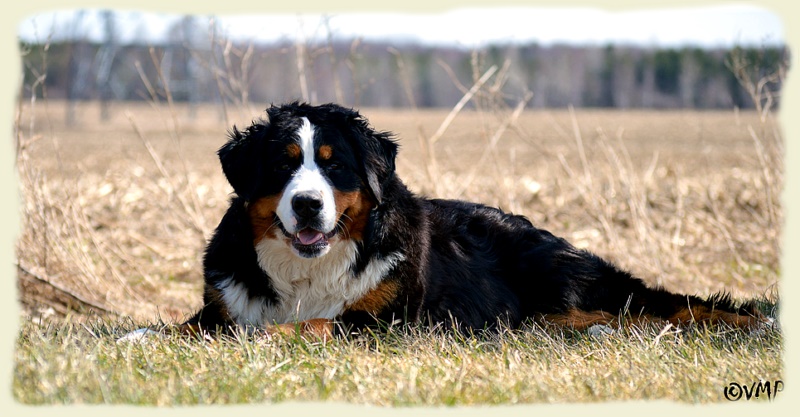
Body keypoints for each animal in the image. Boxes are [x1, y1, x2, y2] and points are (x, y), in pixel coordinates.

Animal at [175, 101, 764, 338]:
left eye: (333, 163)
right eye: (283, 165)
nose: (306, 205)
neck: (306, 274)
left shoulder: (387, 321)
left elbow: (314, 324)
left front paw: (270, 336)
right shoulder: (218, 308)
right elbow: (180, 329)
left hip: (562, 272)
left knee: (652, 304)